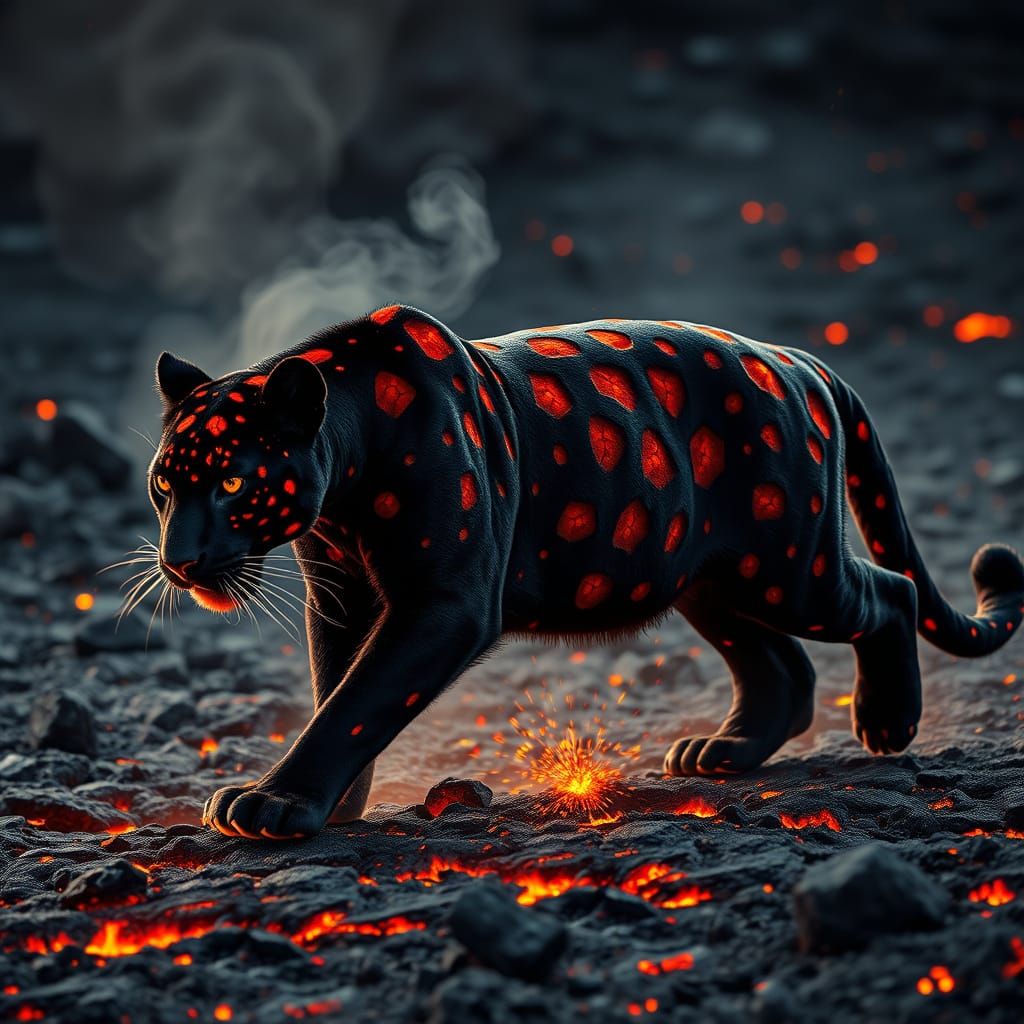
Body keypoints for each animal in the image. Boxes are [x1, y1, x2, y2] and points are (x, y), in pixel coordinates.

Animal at [148, 305, 1023, 839]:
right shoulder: (341, 596)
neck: (350, 474)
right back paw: (722, 752)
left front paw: (277, 802)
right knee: (783, 668)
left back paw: (888, 724)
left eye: (233, 484)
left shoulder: (443, 606)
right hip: (712, 578)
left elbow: (357, 701)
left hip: (792, 566)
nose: (179, 560)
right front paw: (330, 806)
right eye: (164, 483)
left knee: (889, 594)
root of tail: (798, 359)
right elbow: (338, 692)